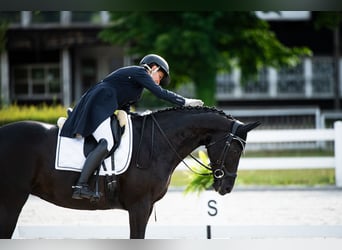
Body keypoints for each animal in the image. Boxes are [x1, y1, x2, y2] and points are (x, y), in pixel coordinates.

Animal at [0, 106, 260, 238]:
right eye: (235, 149)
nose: (226, 187)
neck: (155, 144)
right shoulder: (139, 206)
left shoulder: (146, 207)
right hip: (12, 201)